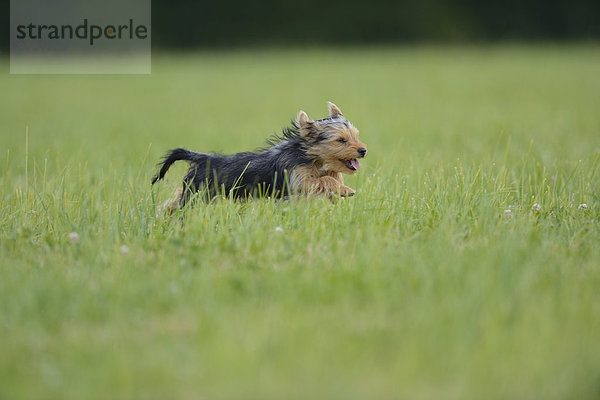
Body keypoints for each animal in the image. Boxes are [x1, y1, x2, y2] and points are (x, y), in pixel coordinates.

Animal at [151, 101, 366, 209]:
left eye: (356, 136)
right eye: (340, 140)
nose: (363, 150)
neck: (310, 156)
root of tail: (203, 158)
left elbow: (332, 178)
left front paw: (342, 189)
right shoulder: (298, 180)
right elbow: (323, 181)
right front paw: (344, 189)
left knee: (174, 201)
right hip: (198, 195)